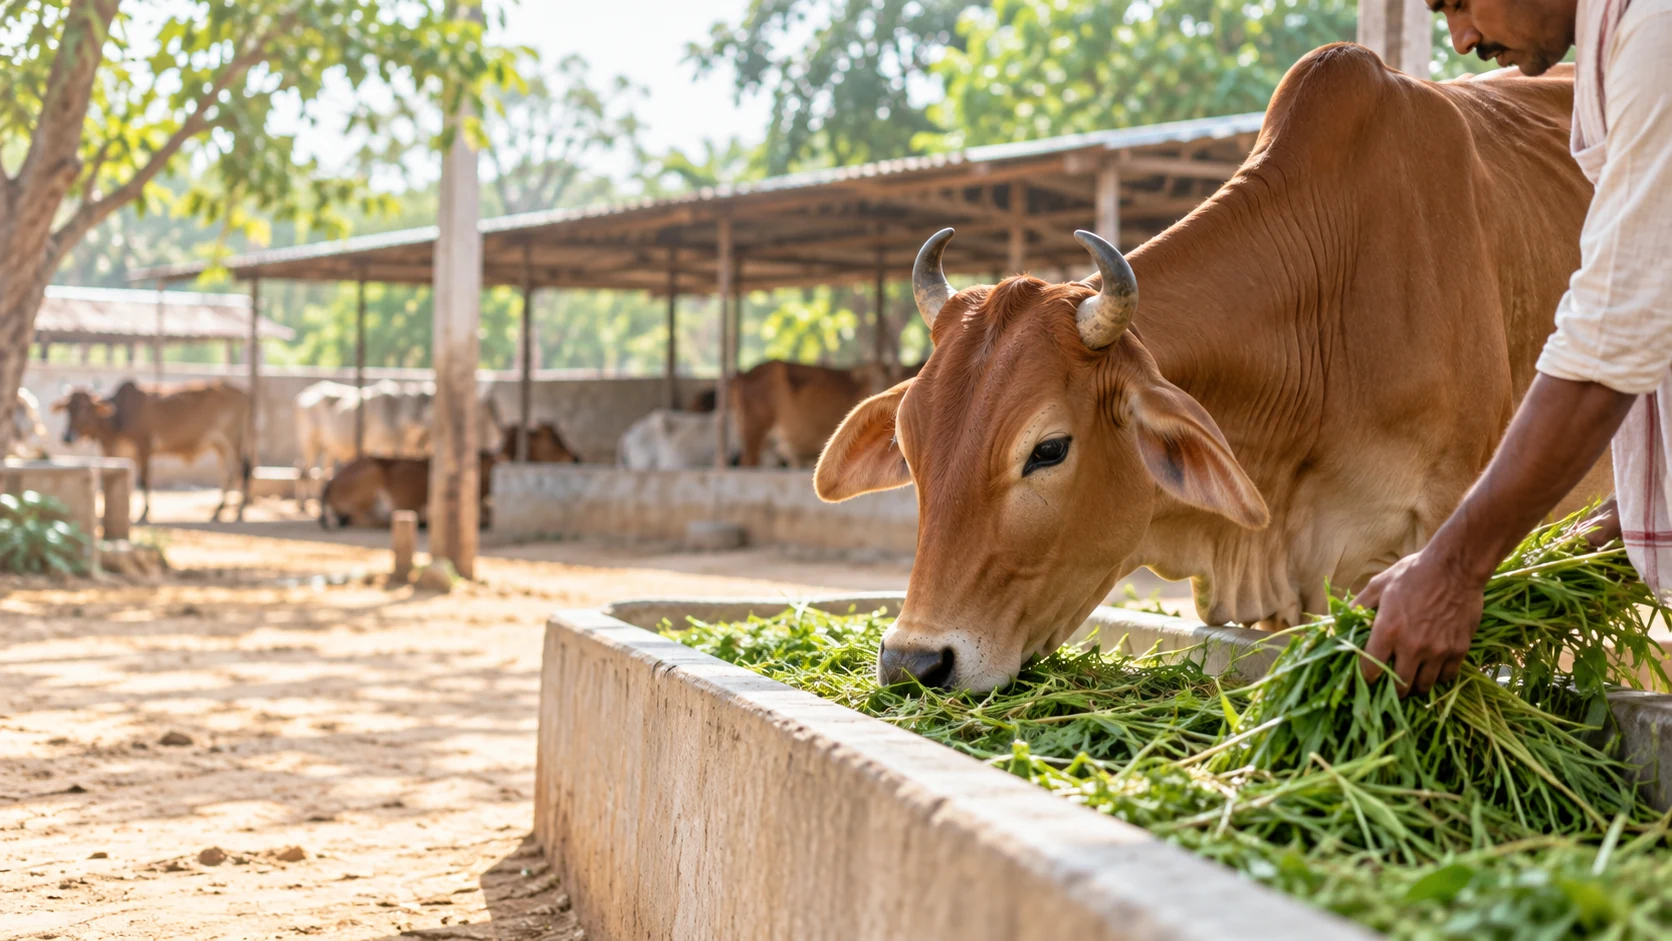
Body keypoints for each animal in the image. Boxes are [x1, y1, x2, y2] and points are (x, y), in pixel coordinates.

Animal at [55, 380, 251, 523]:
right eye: (68, 409)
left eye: (84, 408)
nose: (67, 437)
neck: (119, 417)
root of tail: (244, 394)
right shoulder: (120, 453)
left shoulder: (144, 446)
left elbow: (143, 479)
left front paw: (144, 512)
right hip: (220, 445)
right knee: (227, 473)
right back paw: (220, 508)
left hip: (233, 439)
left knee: (241, 469)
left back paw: (240, 510)